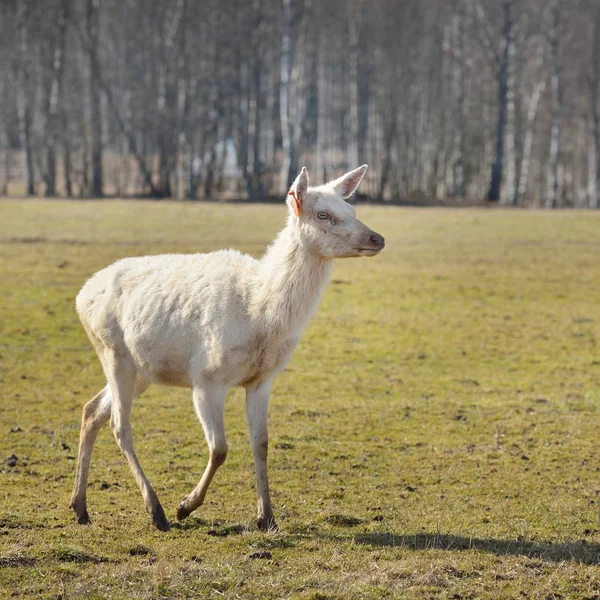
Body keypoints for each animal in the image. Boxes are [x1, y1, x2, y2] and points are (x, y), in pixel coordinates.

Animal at [70, 164, 386, 528]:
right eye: (323, 214)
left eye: (352, 209)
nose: (377, 238)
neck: (259, 315)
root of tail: (81, 295)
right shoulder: (206, 376)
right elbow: (220, 448)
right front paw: (185, 505)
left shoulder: (263, 379)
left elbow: (261, 443)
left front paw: (268, 518)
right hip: (111, 350)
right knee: (119, 425)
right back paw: (156, 510)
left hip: (142, 369)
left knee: (92, 410)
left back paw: (80, 507)